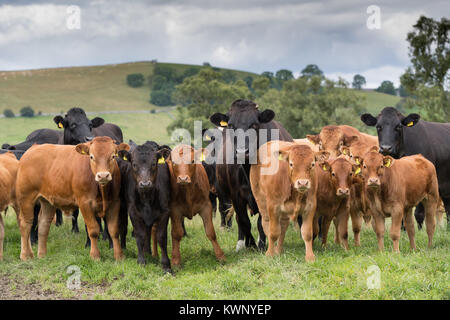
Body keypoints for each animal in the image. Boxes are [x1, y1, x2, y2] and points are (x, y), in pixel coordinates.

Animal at [117, 141, 171, 272]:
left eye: (154, 163)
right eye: (134, 164)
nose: (145, 184)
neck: (147, 197)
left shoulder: (165, 212)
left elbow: (161, 237)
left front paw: (166, 265)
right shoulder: (133, 212)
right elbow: (140, 235)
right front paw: (141, 261)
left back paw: (148, 252)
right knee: (123, 227)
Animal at [210, 99, 294, 251]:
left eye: (254, 124)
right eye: (231, 125)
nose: (242, 151)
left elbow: (262, 222)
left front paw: (261, 244)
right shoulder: (236, 195)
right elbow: (244, 221)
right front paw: (250, 244)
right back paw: (240, 243)